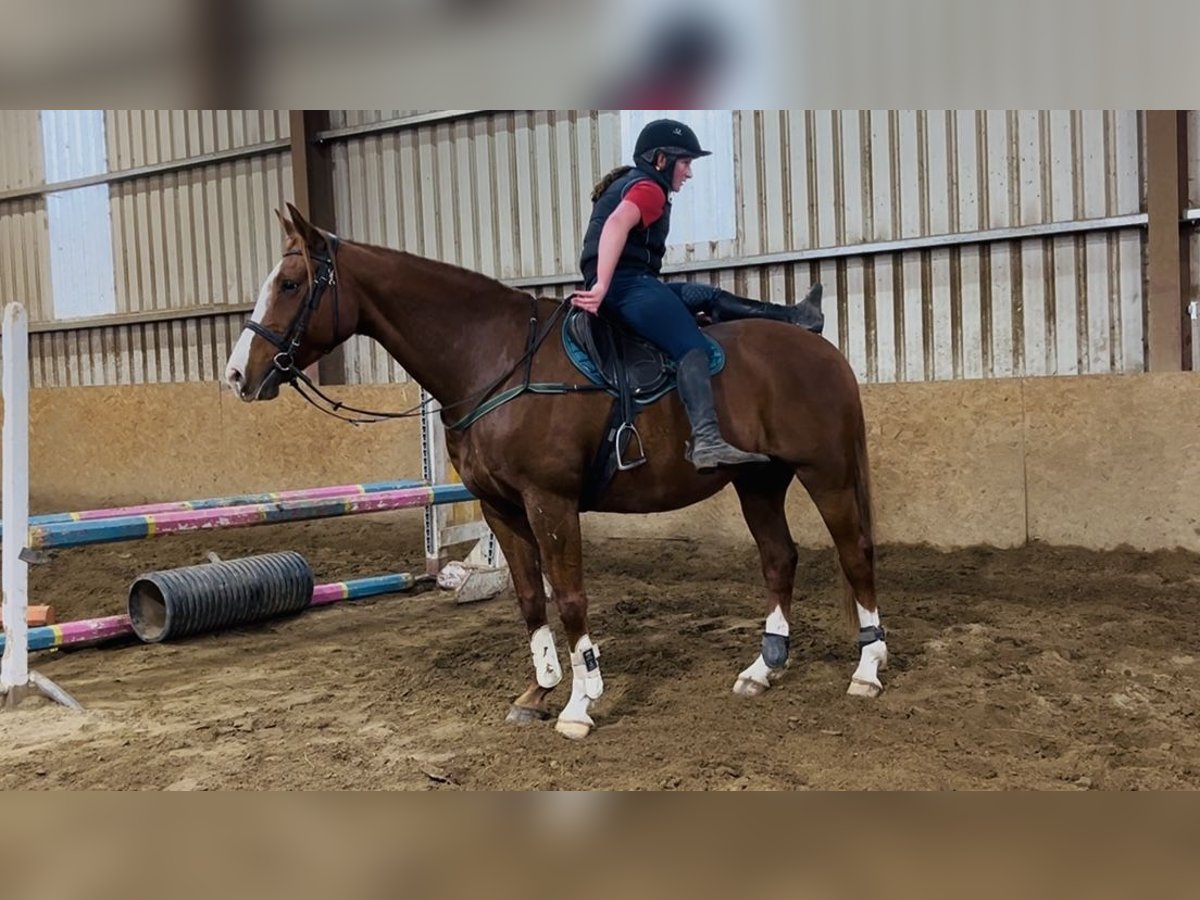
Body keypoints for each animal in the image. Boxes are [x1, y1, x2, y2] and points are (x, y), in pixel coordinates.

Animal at [224, 203, 886, 740]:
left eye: (290, 283)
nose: (236, 375)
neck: (494, 359)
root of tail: (822, 351)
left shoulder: (551, 501)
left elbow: (568, 598)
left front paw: (580, 703)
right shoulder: (500, 507)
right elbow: (528, 599)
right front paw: (538, 691)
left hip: (825, 474)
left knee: (854, 555)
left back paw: (867, 670)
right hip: (759, 481)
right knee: (779, 559)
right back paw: (762, 669)